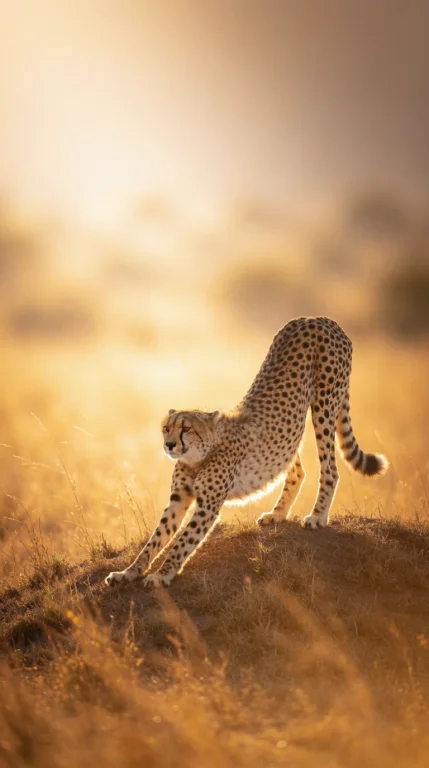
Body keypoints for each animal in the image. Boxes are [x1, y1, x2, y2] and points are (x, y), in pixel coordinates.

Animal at [106, 316, 388, 588]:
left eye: (186, 428)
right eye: (166, 428)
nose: (170, 445)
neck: (198, 456)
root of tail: (320, 319)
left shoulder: (207, 505)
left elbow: (183, 541)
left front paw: (162, 575)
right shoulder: (179, 498)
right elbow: (155, 539)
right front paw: (128, 573)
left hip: (324, 406)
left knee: (330, 468)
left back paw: (318, 516)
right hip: (293, 431)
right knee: (296, 469)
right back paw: (277, 514)